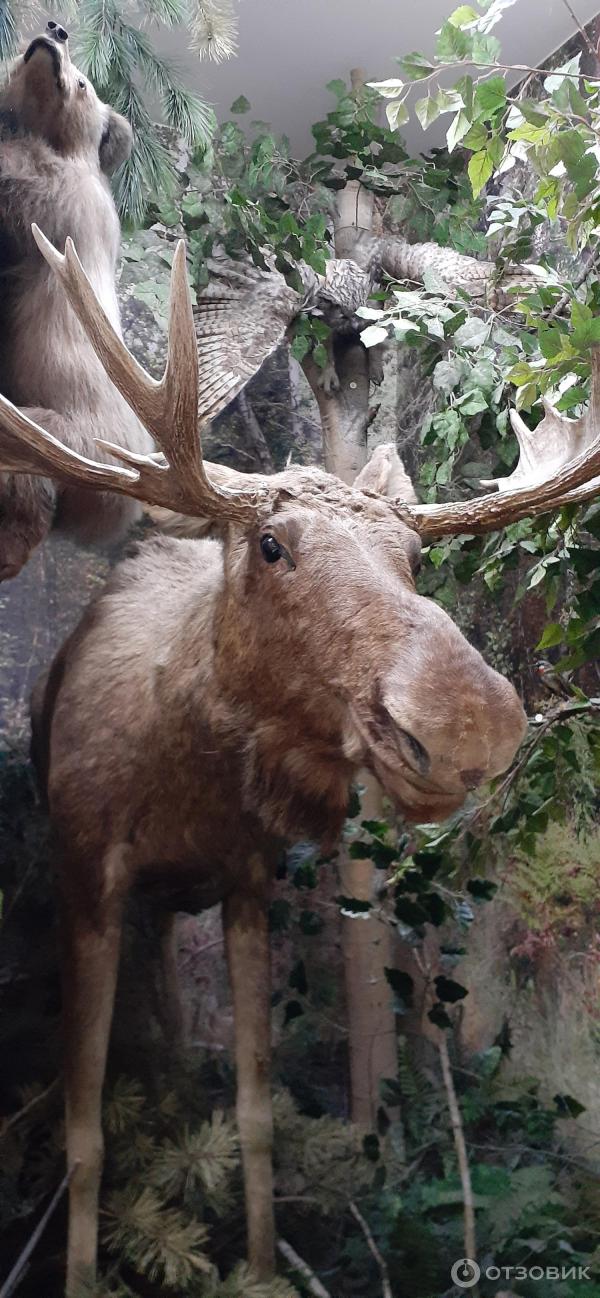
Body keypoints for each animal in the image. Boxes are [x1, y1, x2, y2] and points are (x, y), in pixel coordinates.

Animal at [5, 231, 600, 1287]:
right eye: (272, 544)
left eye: (415, 556)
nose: (469, 719)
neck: (179, 780)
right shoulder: (86, 881)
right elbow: (83, 1135)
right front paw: (79, 1274)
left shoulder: (248, 882)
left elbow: (256, 1112)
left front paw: (262, 1269)